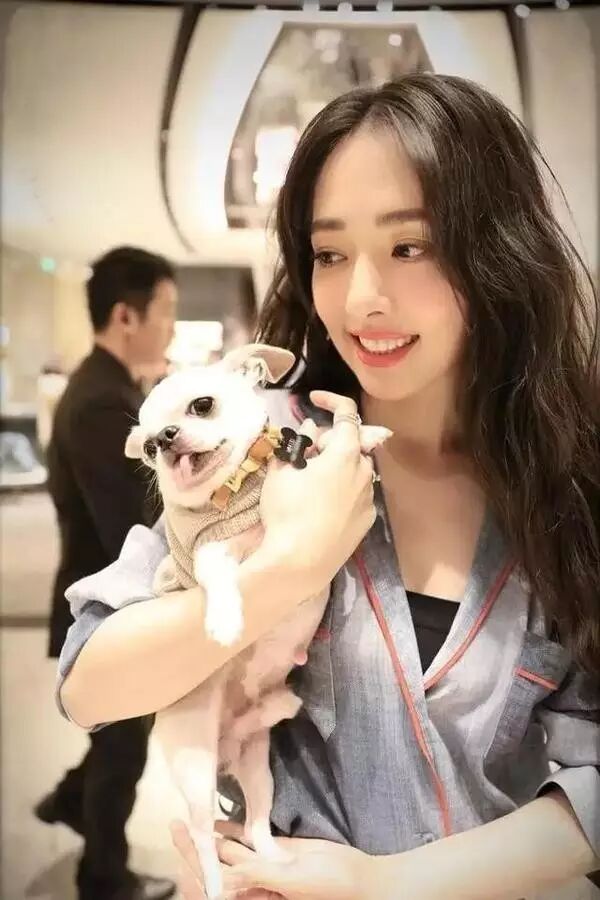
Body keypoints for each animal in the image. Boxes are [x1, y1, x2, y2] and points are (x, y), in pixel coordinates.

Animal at [125, 343, 391, 899]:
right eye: (148, 450)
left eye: (202, 405)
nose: (164, 440)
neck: (242, 482)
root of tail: (228, 741)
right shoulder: (211, 549)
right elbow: (219, 571)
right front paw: (226, 621)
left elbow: (320, 440)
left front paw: (366, 434)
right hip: (197, 772)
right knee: (204, 838)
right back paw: (216, 883)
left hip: (258, 770)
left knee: (254, 824)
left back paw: (277, 858)